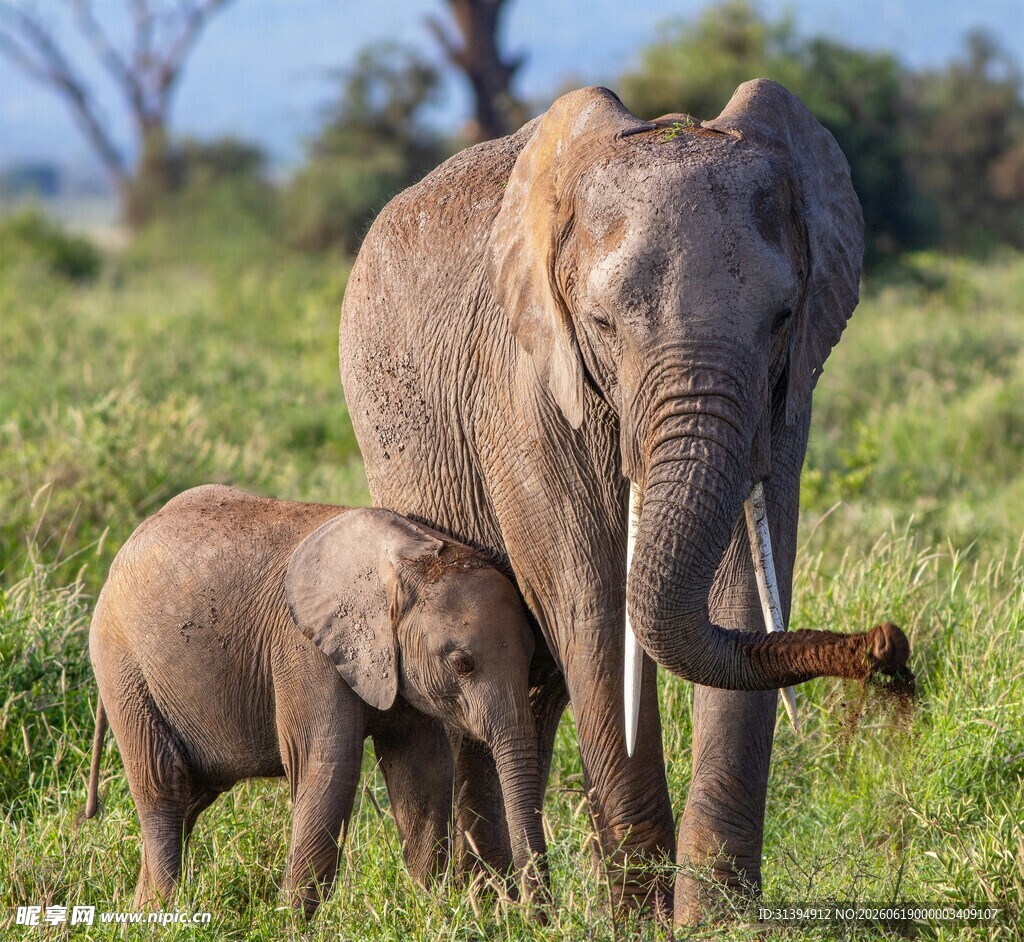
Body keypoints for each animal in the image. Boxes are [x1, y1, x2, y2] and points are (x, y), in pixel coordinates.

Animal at [86, 484, 546, 918]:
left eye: (533, 657)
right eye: (462, 664)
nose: (535, 916)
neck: (408, 556)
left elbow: (424, 772)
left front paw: (433, 911)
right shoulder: (305, 650)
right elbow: (328, 768)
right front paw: (289, 924)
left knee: (191, 796)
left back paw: (139, 910)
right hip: (123, 668)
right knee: (164, 786)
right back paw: (163, 912)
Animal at [338, 79, 911, 923]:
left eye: (781, 318)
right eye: (603, 324)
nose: (886, 645)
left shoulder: (785, 397)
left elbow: (742, 597)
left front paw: (720, 922)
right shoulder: (529, 388)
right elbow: (595, 607)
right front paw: (639, 919)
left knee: (535, 689)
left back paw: (520, 907)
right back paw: (488, 909)